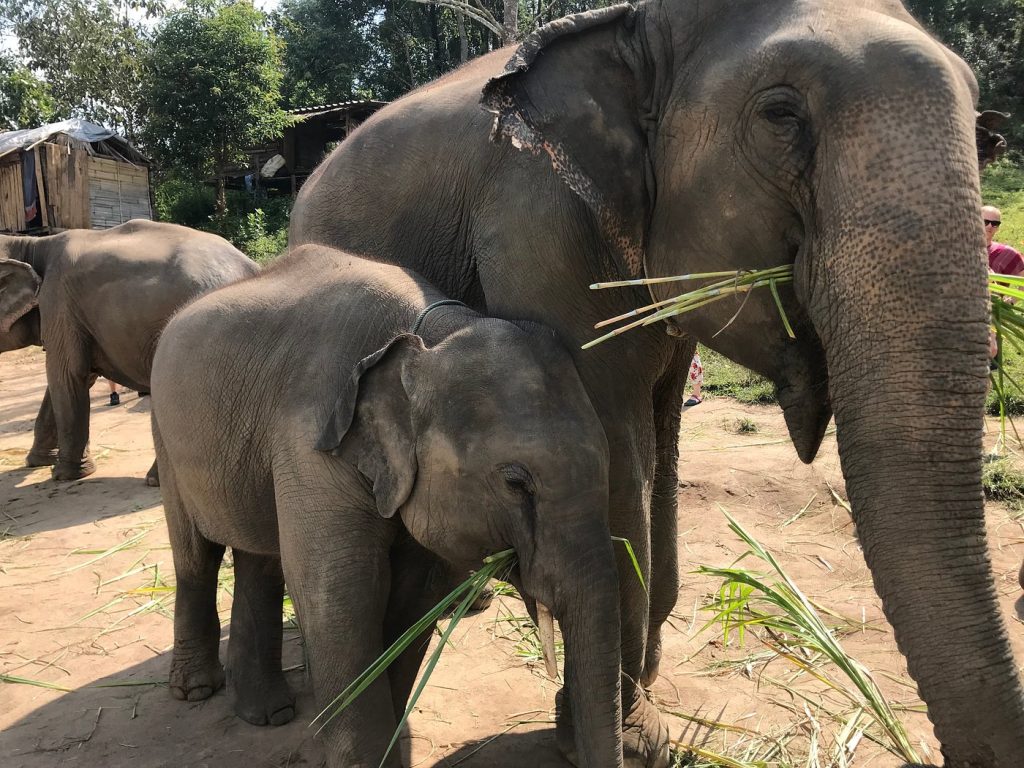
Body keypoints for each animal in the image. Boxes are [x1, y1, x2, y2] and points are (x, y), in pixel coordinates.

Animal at [0, 219, 258, 483]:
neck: (31, 244)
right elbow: (77, 377)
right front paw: (37, 462)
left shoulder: (58, 302)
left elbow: (66, 375)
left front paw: (64, 475)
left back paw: (155, 480)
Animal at [149, 245, 622, 768]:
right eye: (516, 483)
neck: (434, 335)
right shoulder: (310, 441)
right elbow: (341, 599)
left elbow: (413, 603)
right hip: (165, 437)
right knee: (196, 555)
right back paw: (196, 690)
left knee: (262, 561)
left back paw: (267, 713)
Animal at [287, 0, 1024, 764]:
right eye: (781, 115)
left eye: (983, 138)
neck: (638, 27)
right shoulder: (535, 220)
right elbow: (612, 451)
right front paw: (630, 738)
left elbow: (660, 447)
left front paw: (638, 702)